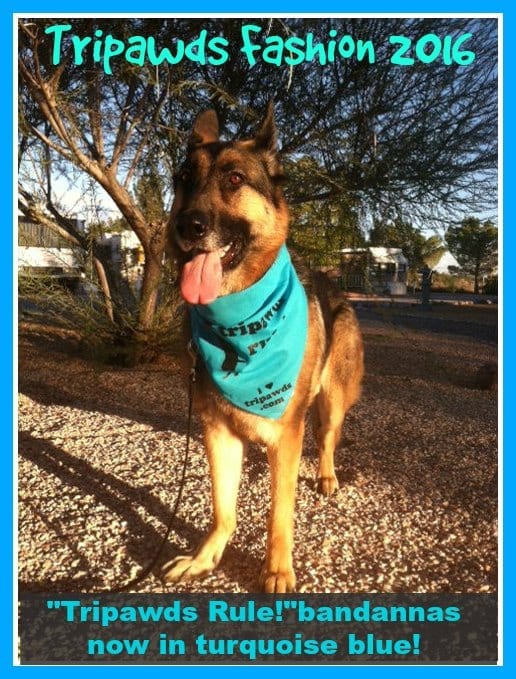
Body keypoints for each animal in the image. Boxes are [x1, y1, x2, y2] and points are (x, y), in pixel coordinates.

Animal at [164, 103, 362, 592]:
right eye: (184, 178)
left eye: (235, 179)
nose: (186, 225)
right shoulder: (218, 433)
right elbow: (222, 508)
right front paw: (205, 557)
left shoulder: (286, 438)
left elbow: (279, 515)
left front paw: (276, 569)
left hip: (332, 401)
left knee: (327, 439)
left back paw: (327, 475)